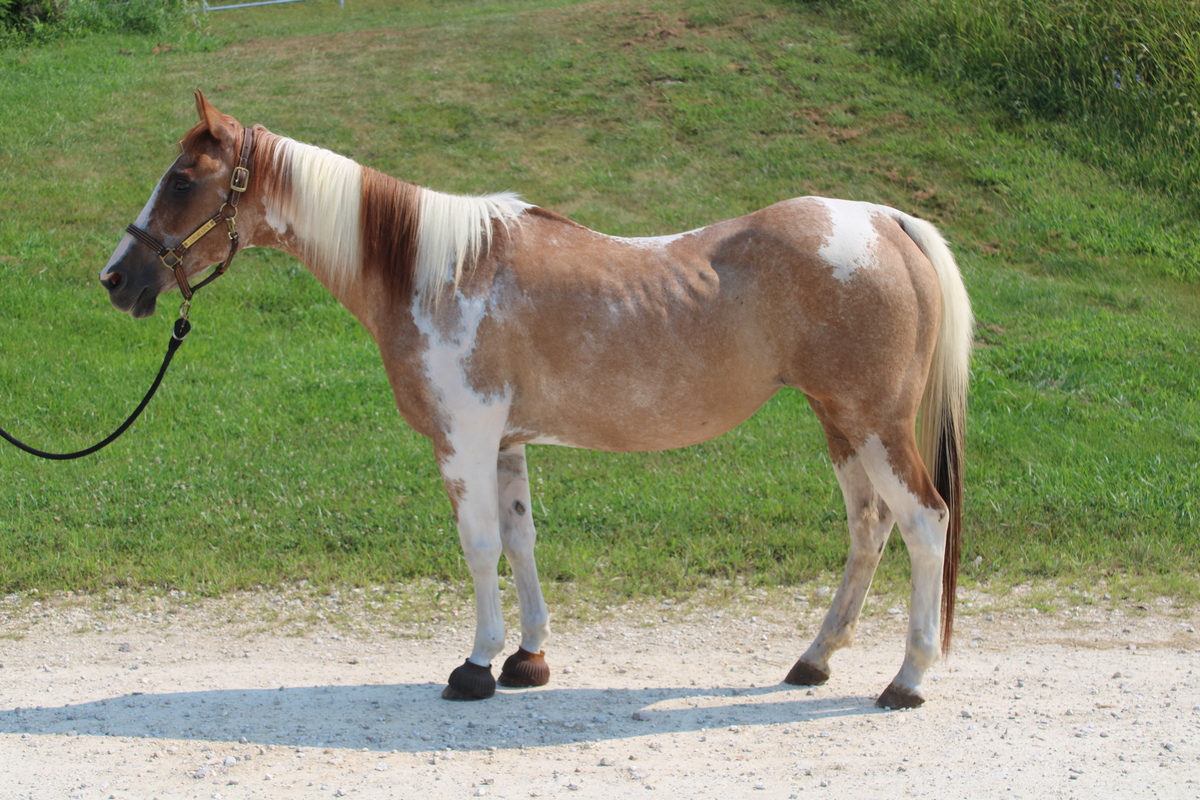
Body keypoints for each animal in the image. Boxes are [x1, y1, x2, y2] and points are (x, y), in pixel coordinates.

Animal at [100, 91, 971, 709]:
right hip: (841, 424)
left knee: (924, 523)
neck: (435, 271)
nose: (116, 279)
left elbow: (479, 546)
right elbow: (520, 542)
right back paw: (813, 660)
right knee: (870, 526)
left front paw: (477, 665)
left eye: (182, 180)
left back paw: (908, 679)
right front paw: (528, 657)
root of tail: (884, 221)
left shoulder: (464, 439)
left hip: (874, 425)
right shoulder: (508, 442)